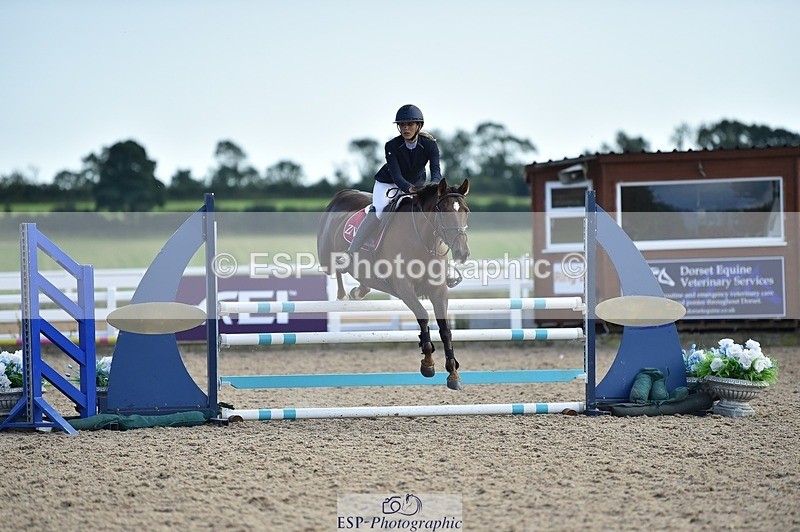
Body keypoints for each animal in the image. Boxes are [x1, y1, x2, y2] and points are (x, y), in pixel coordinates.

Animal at [317, 178, 471, 390]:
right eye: (444, 212)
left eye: (466, 211)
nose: (462, 253)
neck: (423, 239)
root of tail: (343, 193)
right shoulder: (404, 288)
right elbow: (423, 316)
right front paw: (427, 363)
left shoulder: (438, 291)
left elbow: (445, 329)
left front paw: (453, 373)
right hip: (325, 258)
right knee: (337, 268)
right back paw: (343, 291)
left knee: (360, 278)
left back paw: (359, 290)